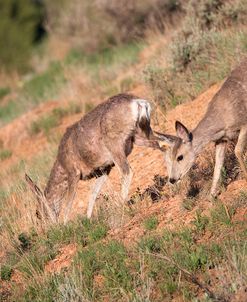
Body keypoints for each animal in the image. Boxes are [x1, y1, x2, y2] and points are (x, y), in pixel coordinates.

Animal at [25, 93, 161, 223]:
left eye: (38, 214)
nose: (50, 227)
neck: (62, 164)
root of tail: (138, 102)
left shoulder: (73, 173)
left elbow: (69, 203)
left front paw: (65, 224)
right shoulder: (103, 169)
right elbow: (93, 193)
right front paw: (88, 218)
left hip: (115, 144)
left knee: (127, 171)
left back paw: (121, 205)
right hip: (140, 134)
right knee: (163, 143)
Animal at [156, 57, 247, 197]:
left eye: (180, 157)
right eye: (168, 158)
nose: (172, 179)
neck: (221, 121)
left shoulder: (243, 122)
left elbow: (237, 150)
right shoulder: (221, 140)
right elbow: (218, 165)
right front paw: (212, 195)